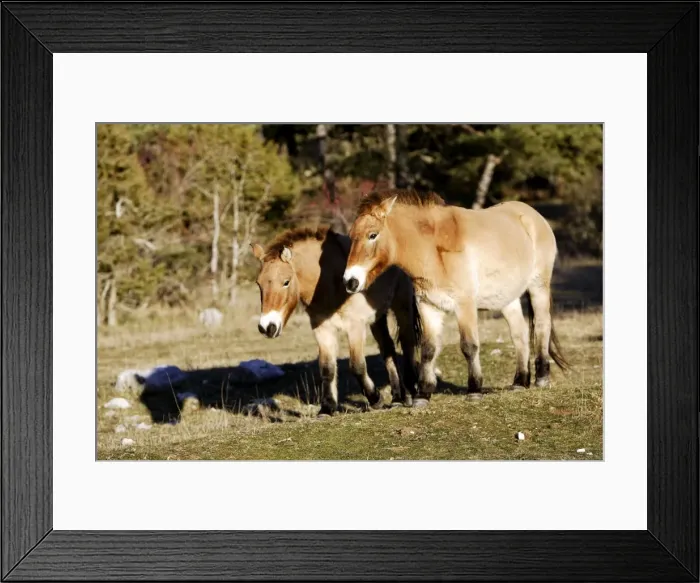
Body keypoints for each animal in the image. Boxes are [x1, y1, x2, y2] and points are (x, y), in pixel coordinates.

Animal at [251, 227, 421, 416]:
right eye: (259, 284)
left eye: (286, 282)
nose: (267, 327)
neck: (330, 283)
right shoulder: (322, 329)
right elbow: (327, 368)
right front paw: (327, 407)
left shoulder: (355, 327)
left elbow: (357, 366)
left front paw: (375, 399)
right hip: (378, 317)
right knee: (388, 349)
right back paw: (398, 398)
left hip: (402, 305)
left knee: (407, 343)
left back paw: (412, 391)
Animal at [342, 188, 568, 408]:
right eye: (351, 236)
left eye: (372, 235)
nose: (350, 281)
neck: (434, 249)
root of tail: (533, 215)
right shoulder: (428, 307)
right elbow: (428, 349)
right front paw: (423, 394)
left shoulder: (464, 305)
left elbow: (469, 346)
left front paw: (474, 390)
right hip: (507, 299)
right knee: (519, 333)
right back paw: (520, 381)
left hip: (538, 287)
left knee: (542, 326)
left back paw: (541, 378)